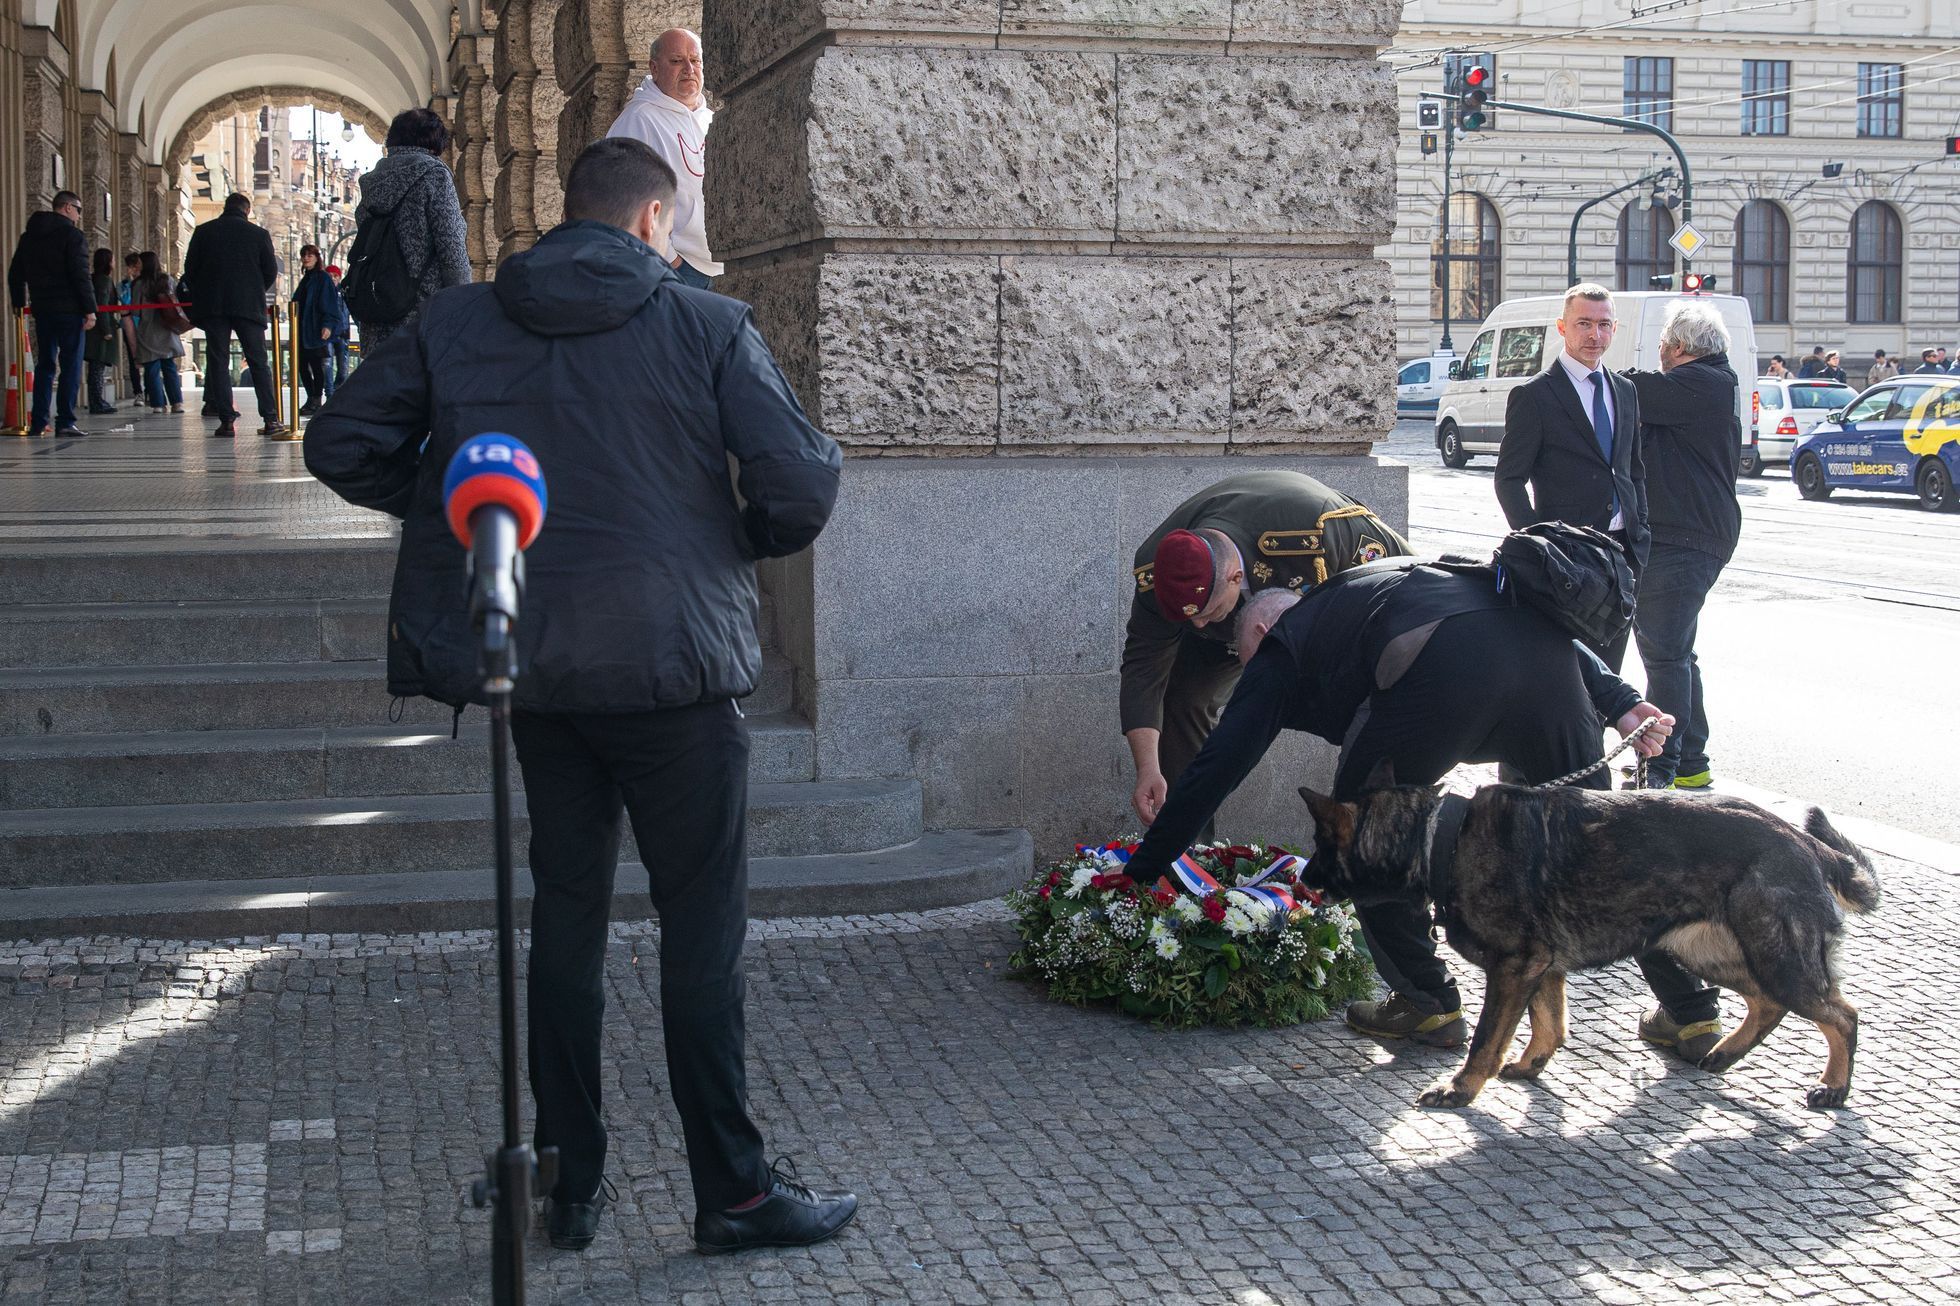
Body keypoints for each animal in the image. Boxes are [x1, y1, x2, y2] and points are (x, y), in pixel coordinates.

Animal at [1301, 772, 1881, 1105]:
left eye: (1322, 845)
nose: (1302, 875)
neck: (1442, 836)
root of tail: (1806, 842)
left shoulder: (1513, 967)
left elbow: (1486, 1040)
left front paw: (1461, 1088)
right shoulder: (1542, 968)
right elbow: (1550, 1024)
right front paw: (1531, 1064)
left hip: (1773, 955)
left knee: (1842, 1014)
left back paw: (1835, 1087)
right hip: (1706, 951)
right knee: (1769, 1004)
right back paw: (1725, 1054)